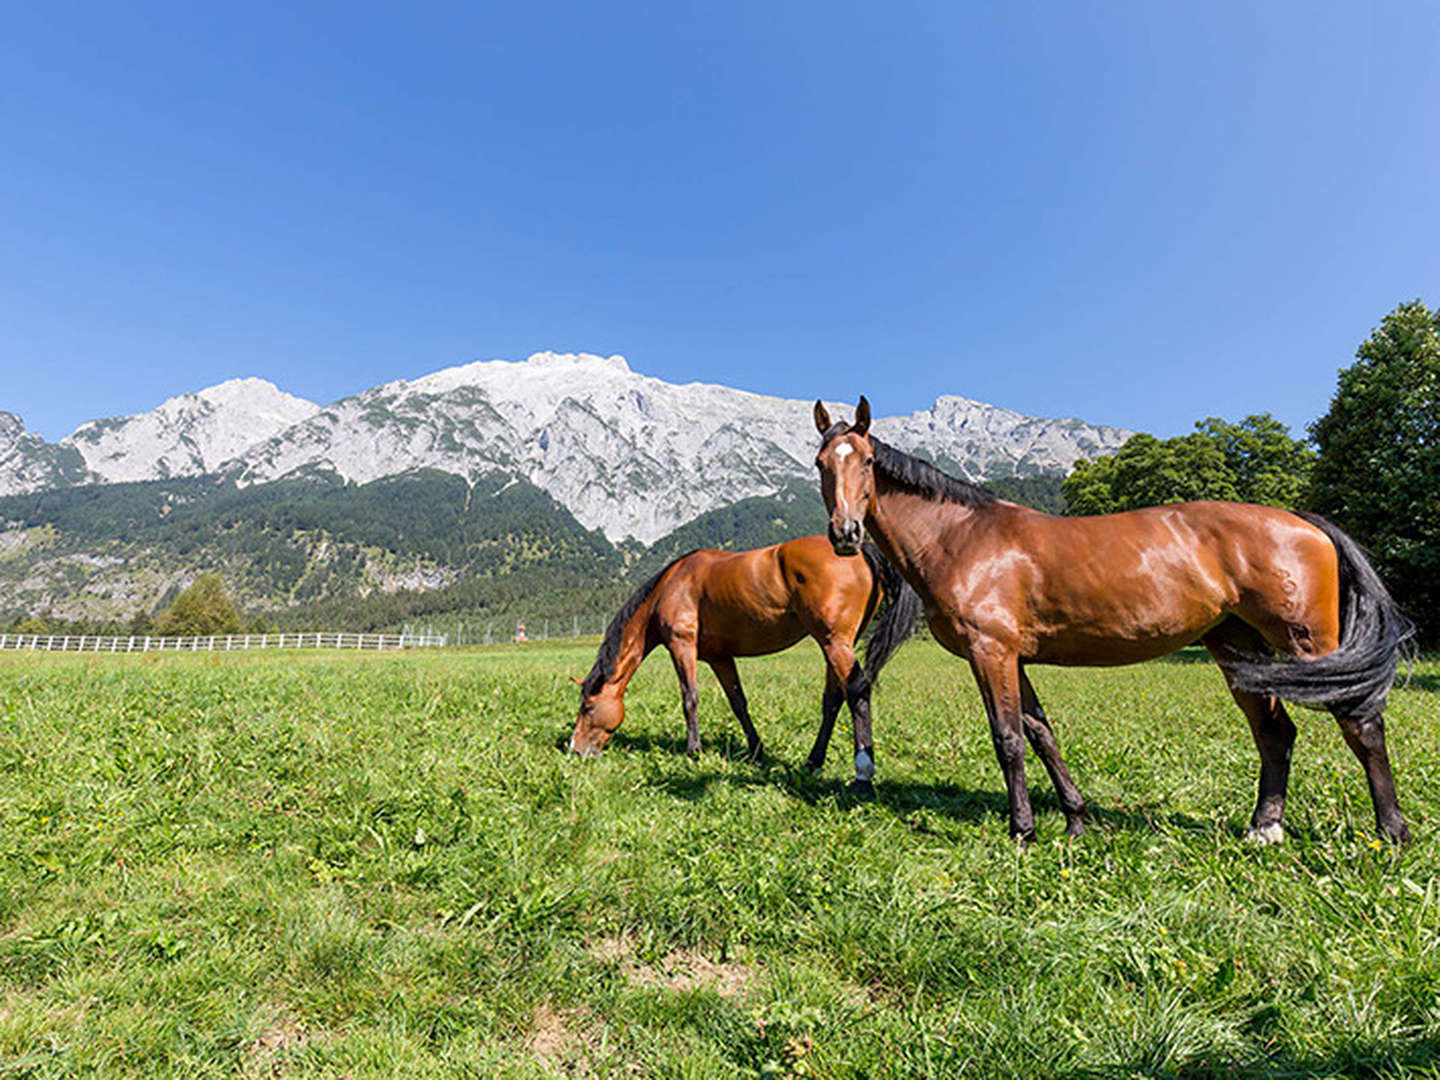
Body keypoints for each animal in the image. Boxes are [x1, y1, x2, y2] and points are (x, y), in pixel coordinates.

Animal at [567, 535, 915, 794]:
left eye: (587, 707)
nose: (574, 749)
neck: (672, 584)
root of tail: (865, 551)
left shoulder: (682, 646)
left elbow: (689, 699)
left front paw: (694, 751)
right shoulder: (719, 658)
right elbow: (738, 703)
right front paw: (756, 751)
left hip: (835, 643)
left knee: (857, 692)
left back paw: (862, 777)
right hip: (836, 645)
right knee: (833, 700)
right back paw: (813, 762)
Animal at [817, 397, 1411, 846]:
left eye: (865, 461)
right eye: (822, 463)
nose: (845, 534)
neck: (962, 537)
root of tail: (1301, 521)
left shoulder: (992, 652)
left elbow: (1008, 738)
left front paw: (1023, 830)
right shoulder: (1015, 658)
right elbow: (1041, 733)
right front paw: (1076, 819)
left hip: (1309, 642)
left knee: (1361, 724)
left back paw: (1392, 832)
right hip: (1239, 649)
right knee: (1274, 733)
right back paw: (1265, 829)